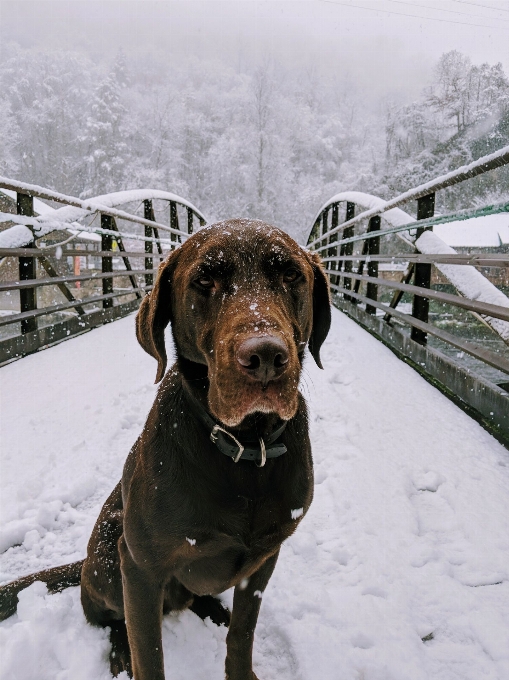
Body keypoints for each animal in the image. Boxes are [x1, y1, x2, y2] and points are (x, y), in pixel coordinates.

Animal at [0, 220, 330, 676]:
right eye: (204, 280)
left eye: (291, 275)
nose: (265, 357)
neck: (246, 447)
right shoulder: (141, 567)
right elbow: (149, 655)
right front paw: (136, 654)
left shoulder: (265, 557)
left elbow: (243, 633)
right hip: (110, 550)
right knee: (107, 616)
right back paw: (120, 650)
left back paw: (216, 611)